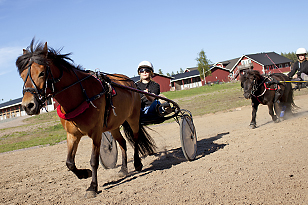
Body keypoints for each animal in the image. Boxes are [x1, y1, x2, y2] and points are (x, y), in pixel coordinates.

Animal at [15, 39, 155, 198]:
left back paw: (137, 163)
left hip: (133, 117)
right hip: (113, 126)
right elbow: (69, 162)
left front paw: (93, 187)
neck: (80, 95)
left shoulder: (96, 133)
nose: (28, 106)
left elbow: (94, 160)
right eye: (22, 75)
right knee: (123, 143)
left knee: (136, 139)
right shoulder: (72, 134)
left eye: (42, 73)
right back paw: (124, 169)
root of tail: (130, 82)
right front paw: (84, 174)